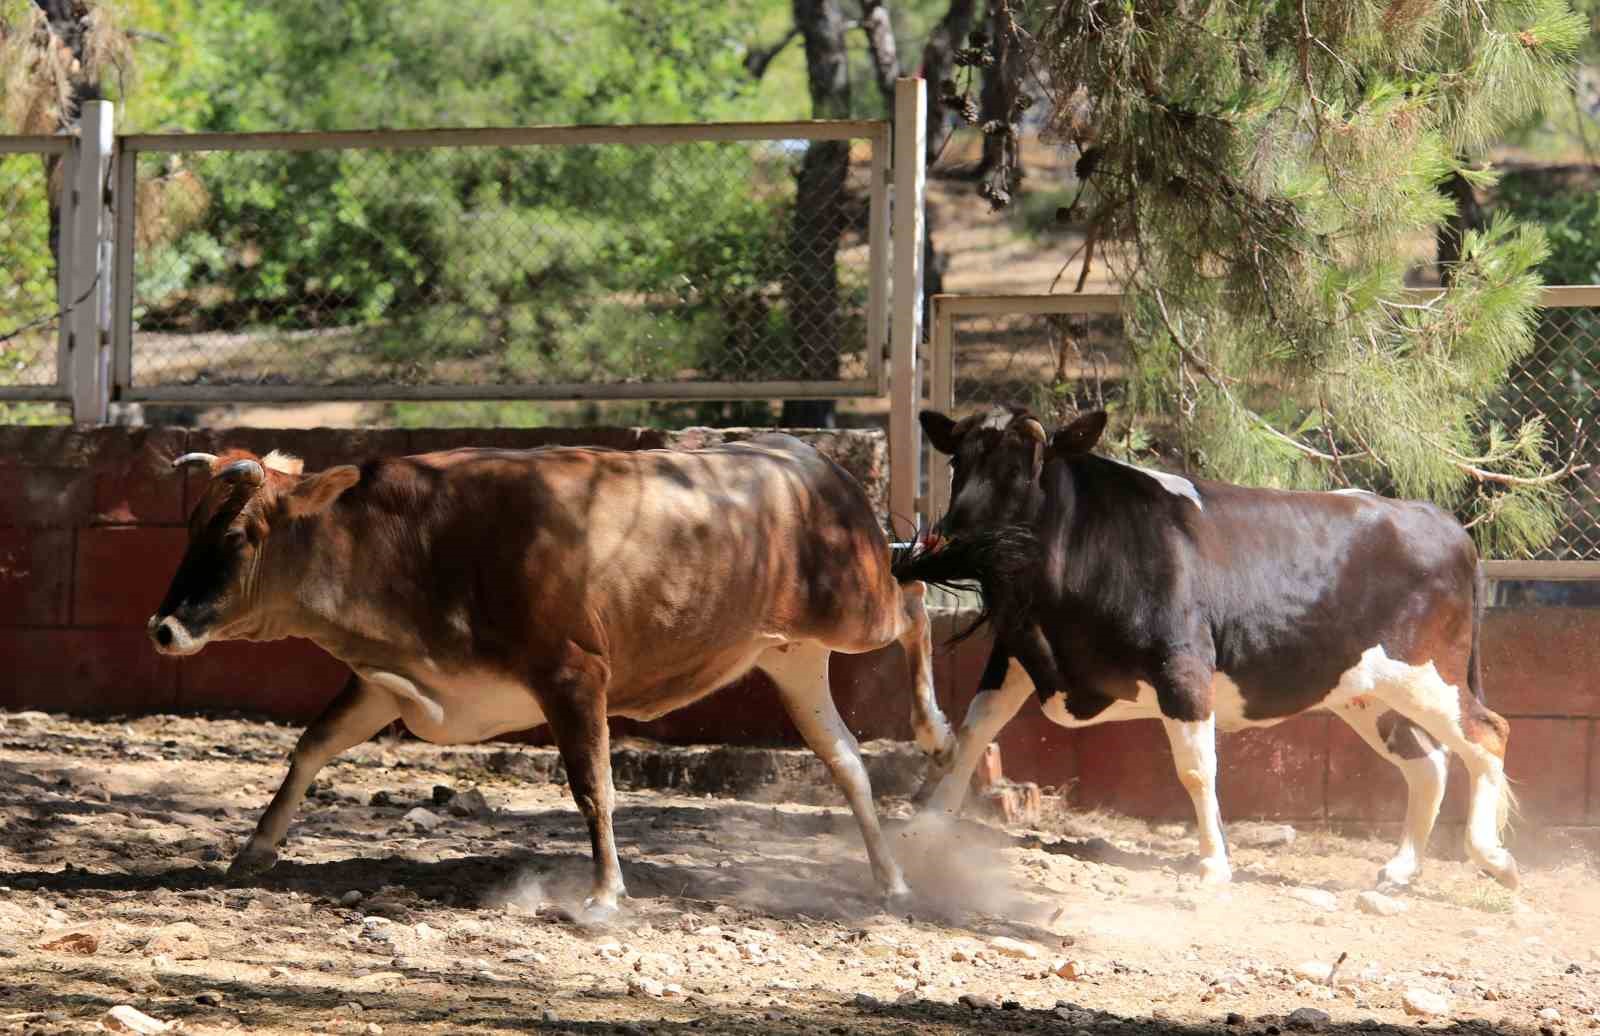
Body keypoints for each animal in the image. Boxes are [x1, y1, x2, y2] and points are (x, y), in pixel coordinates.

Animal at [150, 438, 947, 914]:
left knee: (915, 605)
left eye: (238, 534)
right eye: (189, 527)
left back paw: (934, 731)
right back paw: (892, 878)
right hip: (791, 656)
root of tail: (809, 456)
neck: (422, 539)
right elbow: (312, 744)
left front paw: (604, 893)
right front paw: (256, 849)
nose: (163, 628)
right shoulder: (392, 679)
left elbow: (594, 788)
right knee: (846, 760)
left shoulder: (573, 674)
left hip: (856, 607)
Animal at [896, 409, 1516, 888]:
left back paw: (1493, 857)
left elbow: (1197, 769)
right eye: (958, 463)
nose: (952, 536)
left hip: (1427, 673)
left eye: (1022, 469)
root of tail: (1441, 522)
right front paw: (928, 823)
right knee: (1429, 763)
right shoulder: (1018, 652)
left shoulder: (1183, 666)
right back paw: (1400, 871)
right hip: (1365, 694)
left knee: (1488, 733)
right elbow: (974, 731)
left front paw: (1215, 864)